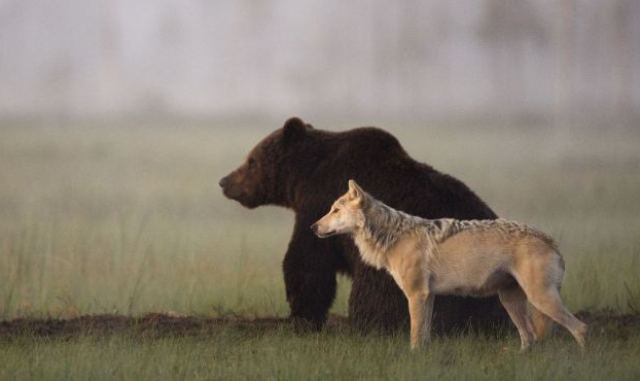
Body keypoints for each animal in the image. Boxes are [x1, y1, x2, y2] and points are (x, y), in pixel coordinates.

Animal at [220, 116, 510, 332]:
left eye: (251, 161)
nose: (225, 181)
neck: (305, 177)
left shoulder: (319, 205)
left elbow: (307, 262)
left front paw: (301, 316)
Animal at [312, 180, 588, 348]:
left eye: (335, 210)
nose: (313, 227)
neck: (393, 236)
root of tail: (551, 240)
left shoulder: (417, 295)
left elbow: (415, 336)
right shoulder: (428, 296)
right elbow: (424, 336)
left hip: (540, 299)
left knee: (581, 328)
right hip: (511, 301)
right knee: (529, 338)